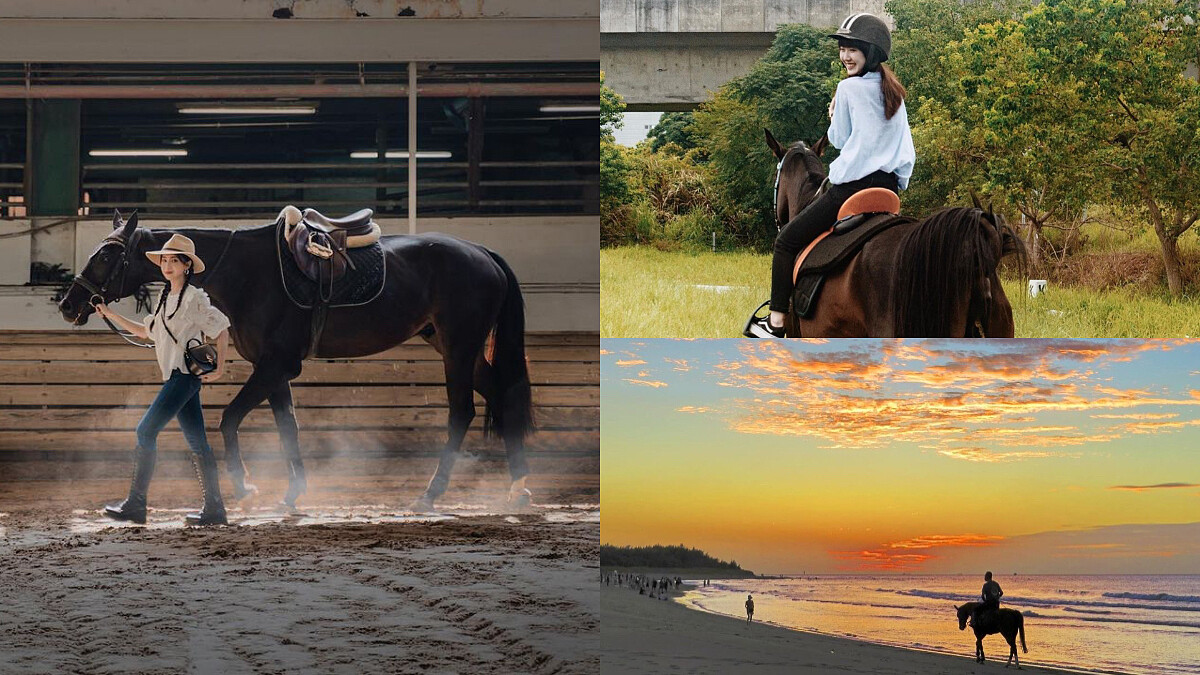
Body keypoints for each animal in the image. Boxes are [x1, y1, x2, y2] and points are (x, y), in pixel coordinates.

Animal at [58, 210, 535, 513]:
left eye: (106, 254)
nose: (69, 304)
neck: (248, 274)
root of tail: (482, 252)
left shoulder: (276, 365)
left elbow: (230, 419)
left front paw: (245, 486)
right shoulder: (276, 370)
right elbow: (288, 427)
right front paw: (292, 493)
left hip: (459, 348)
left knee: (462, 411)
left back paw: (432, 495)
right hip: (457, 349)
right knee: (503, 397)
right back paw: (517, 490)